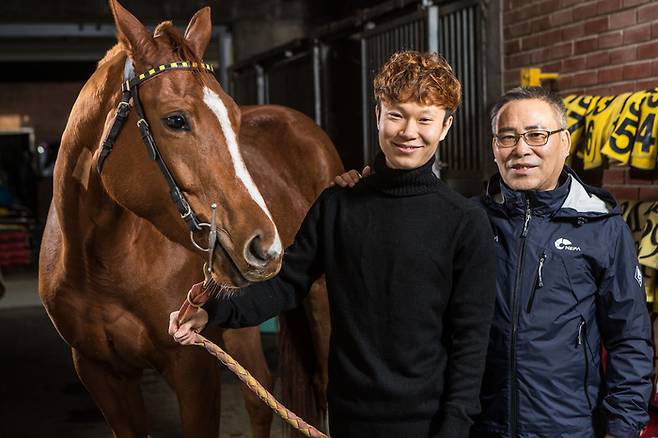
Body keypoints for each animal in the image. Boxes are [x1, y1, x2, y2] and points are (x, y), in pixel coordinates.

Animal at [37, 1, 340, 436]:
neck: (100, 264)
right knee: (259, 396)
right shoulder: (101, 374)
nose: (266, 248)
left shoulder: (193, 369)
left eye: (235, 117)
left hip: (319, 299)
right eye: (176, 120)